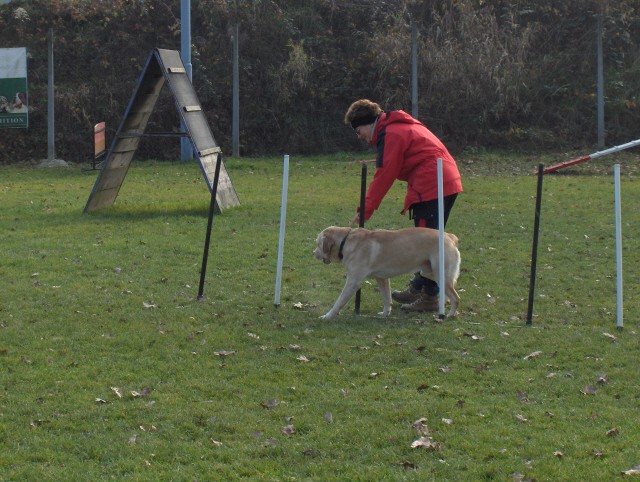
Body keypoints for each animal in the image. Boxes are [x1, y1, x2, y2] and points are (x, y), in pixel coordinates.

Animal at [314, 227, 460, 320]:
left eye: (318, 244)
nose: (313, 253)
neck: (345, 242)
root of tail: (450, 236)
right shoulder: (382, 279)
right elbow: (386, 298)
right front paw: (385, 314)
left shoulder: (353, 282)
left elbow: (339, 302)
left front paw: (327, 316)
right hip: (429, 273)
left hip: (440, 274)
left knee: (456, 298)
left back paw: (449, 315)